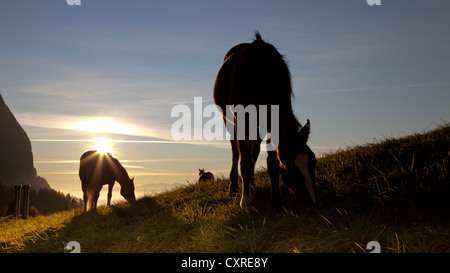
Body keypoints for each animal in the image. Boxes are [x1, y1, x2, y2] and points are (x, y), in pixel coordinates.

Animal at [214, 31, 316, 210]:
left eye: (314, 161)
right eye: (289, 165)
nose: (312, 203)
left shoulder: (269, 124)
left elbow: (271, 162)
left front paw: (276, 202)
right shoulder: (243, 120)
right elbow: (245, 161)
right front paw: (245, 203)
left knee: (252, 150)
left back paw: (251, 184)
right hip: (229, 119)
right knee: (236, 150)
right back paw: (235, 186)